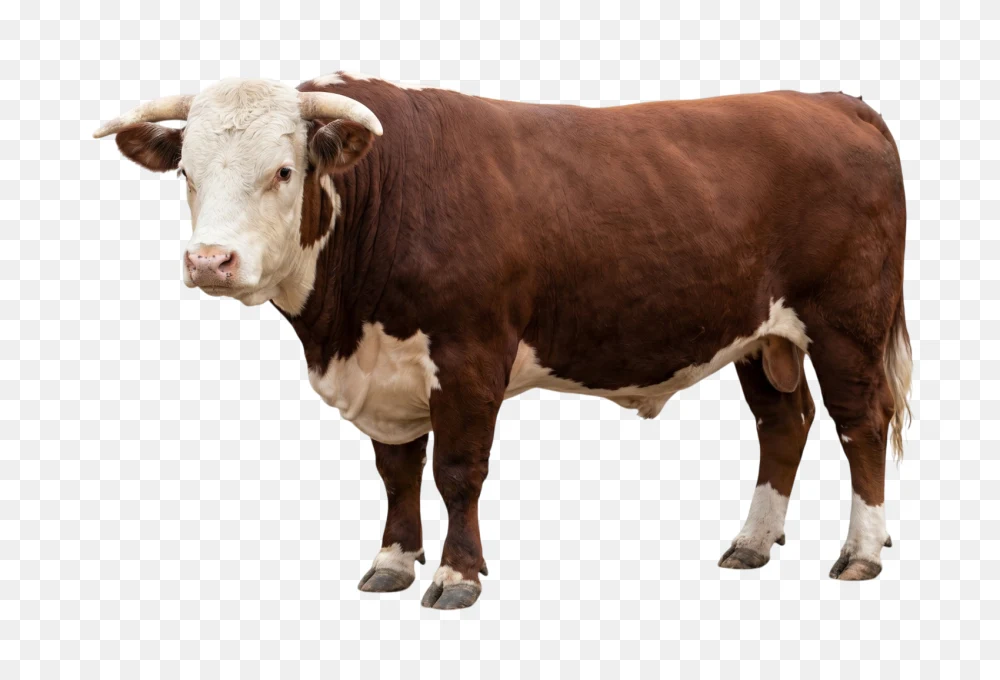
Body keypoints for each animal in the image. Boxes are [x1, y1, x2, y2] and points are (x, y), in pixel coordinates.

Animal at [94, 73, 911, 609]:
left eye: (285, 170)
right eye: (188, 172)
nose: (210, 261)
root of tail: (831, 101)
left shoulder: (470, 356)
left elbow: (457, 472)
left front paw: (457, 575)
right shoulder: (387, 370)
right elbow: (396, 471)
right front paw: (392, 562)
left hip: (846, 321)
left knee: (859, 424)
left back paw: (860, 554)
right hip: (759, 336)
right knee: (784, 422)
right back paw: (751, 543)